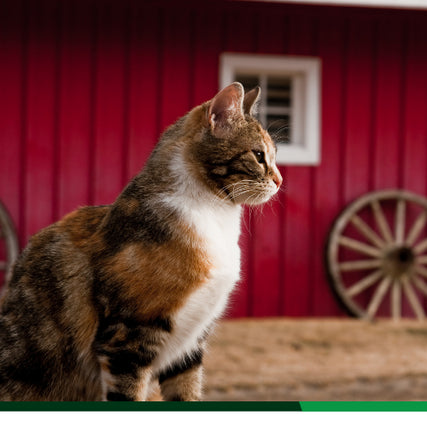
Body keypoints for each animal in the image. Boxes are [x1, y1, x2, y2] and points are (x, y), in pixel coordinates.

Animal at [0, 83, 282, 402]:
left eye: (272, 156)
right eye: (258, 155)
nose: (280, 180)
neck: (213, 214)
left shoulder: (190, 347)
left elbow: (187, 391)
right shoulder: (128, 338)